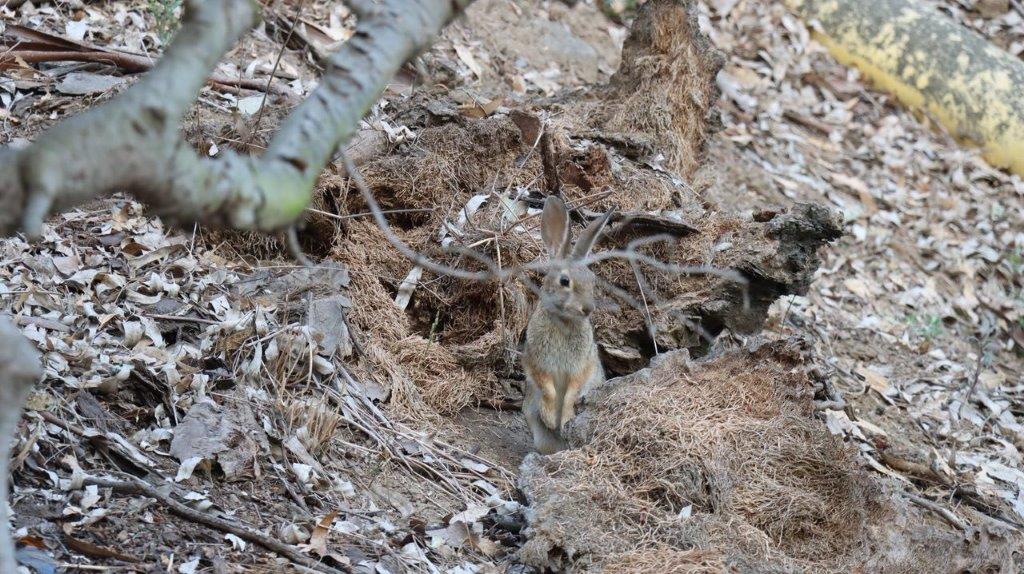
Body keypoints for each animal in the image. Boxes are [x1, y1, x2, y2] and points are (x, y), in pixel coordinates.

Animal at [524, 194, 610, 454]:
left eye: (592, 280)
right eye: (565, 281)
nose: (588, 308)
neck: (563, 320)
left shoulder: (582, 365)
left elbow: (573, 389)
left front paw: (565, 419)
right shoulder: (537, 361)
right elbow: (547, 388)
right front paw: (551, 418)